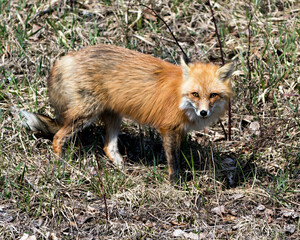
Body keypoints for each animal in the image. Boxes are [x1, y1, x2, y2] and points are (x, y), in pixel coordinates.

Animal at [19, 43, 234, 182]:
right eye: (195, 94)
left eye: (213, 95)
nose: (204, 113)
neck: (180, 97)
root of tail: (67, 57)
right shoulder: (169, 129)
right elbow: (173, 160)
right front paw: (176, 183)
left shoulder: (179, 131)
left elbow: (178, 156)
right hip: (86, 114)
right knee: (57, 136)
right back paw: (62, 165)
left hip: (114, 116)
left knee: (108, 147)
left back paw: (123, 170)